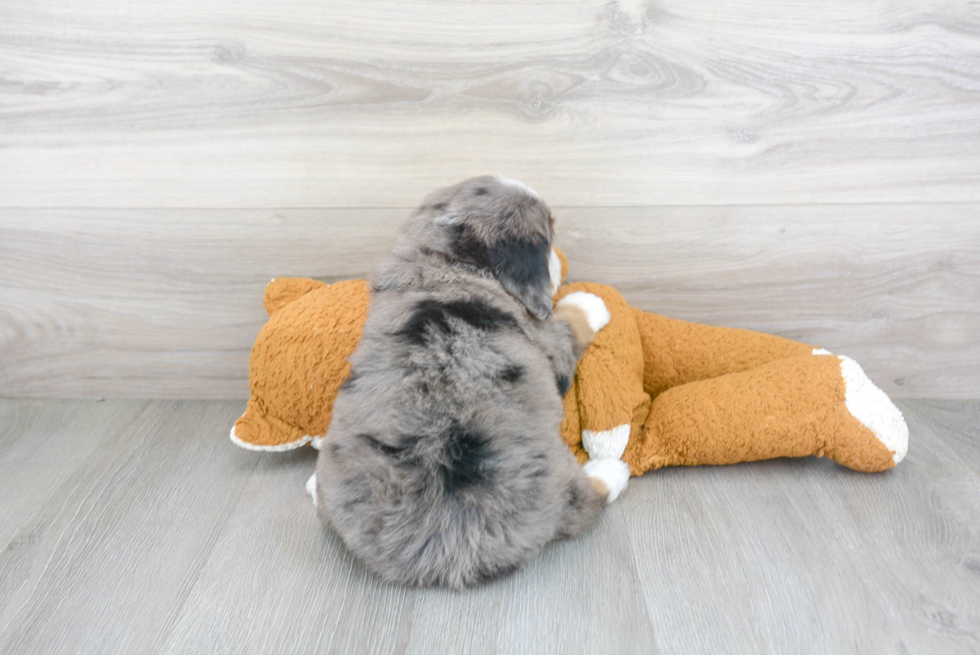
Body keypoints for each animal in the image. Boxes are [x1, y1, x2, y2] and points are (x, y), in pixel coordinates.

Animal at [310, 174, 632, 588]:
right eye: (548, 239)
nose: (562, 260)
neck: (446, 260)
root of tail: (442, 547)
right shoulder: (549, 344)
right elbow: (570, 323)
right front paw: (588, 303)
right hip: (557, 482)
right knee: (584, 501)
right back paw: (609, 469)